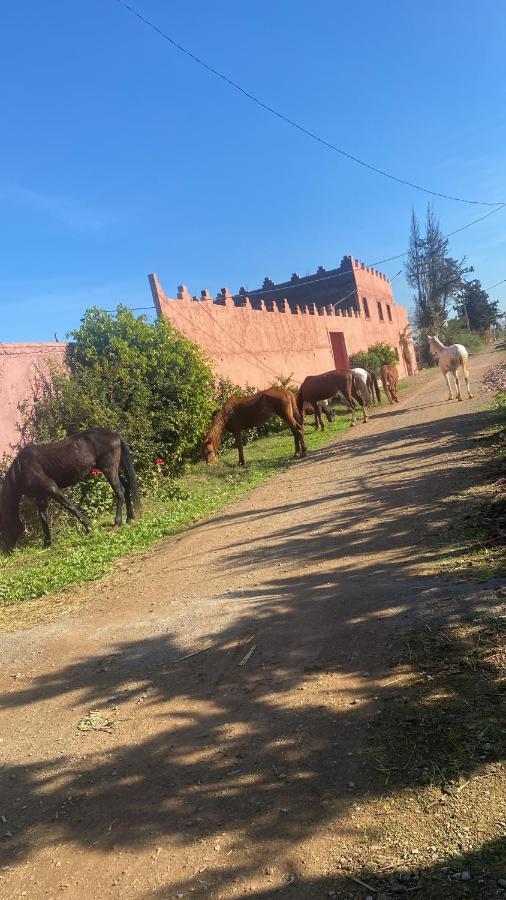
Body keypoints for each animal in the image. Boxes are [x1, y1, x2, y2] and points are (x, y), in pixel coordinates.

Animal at [0, 428, 140, 552]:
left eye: (3, 525)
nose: (6, 550)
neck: (22, 469)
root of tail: (113, 433)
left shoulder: (51, 488)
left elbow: (69, 506)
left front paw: (88, 528)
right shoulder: (40, 495)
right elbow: (43, 518)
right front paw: (46, 544)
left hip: (109, 469)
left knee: (120, 491)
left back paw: (116, 524)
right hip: (114, 469)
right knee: (126, 487)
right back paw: (129, 519)